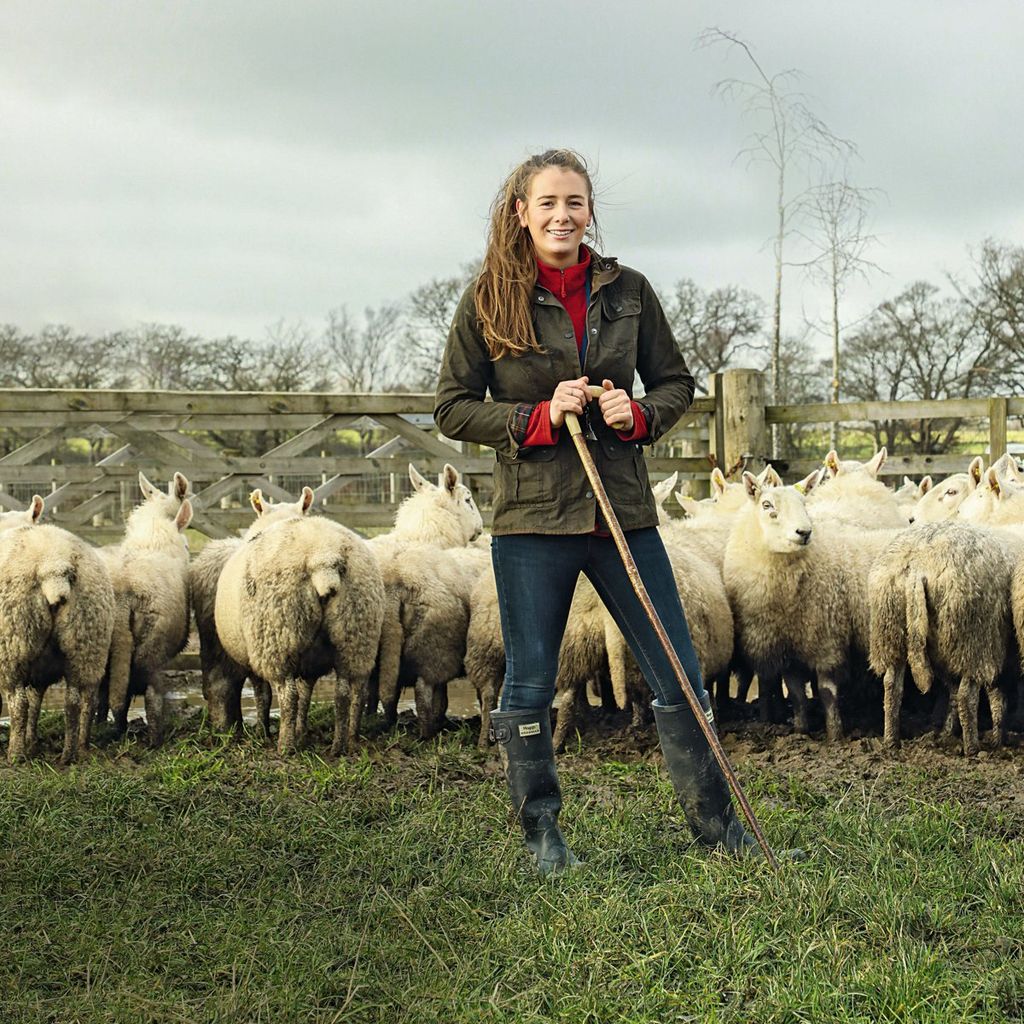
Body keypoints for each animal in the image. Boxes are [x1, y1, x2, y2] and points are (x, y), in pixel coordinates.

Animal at [211, 483, 385, 757]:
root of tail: (324, 561)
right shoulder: (310, 660)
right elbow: (306, 693)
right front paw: (302, 731)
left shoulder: (254, 658)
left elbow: (265, 695)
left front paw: (264, 732)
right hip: (357, 635)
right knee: (349, 692)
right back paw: (345, 742)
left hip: (276, 636)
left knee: (287, 695)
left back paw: (285, 746)